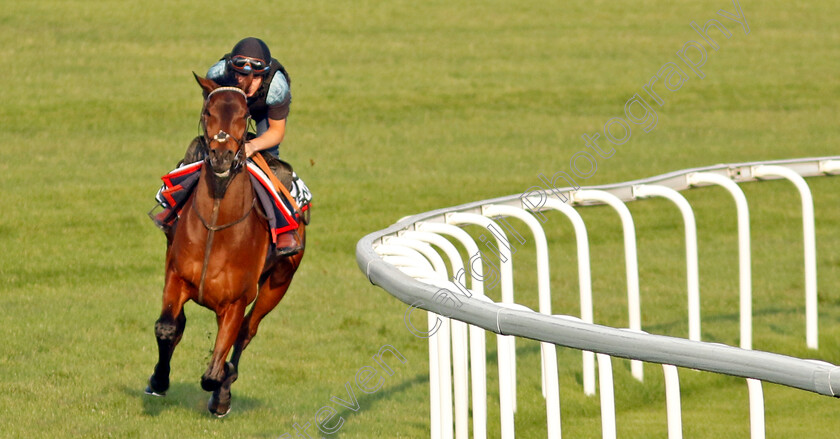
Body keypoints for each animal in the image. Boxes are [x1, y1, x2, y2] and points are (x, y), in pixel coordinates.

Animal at [147, 75, 306, 420]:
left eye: (243, 115)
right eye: (208, 111)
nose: (221, 156)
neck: (216, 226)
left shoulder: (235, 302)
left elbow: (214, 369)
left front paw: (221, 387)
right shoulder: (176, 275)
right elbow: (167, 328)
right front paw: (159, 380)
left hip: (278, 283)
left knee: (247, 331)